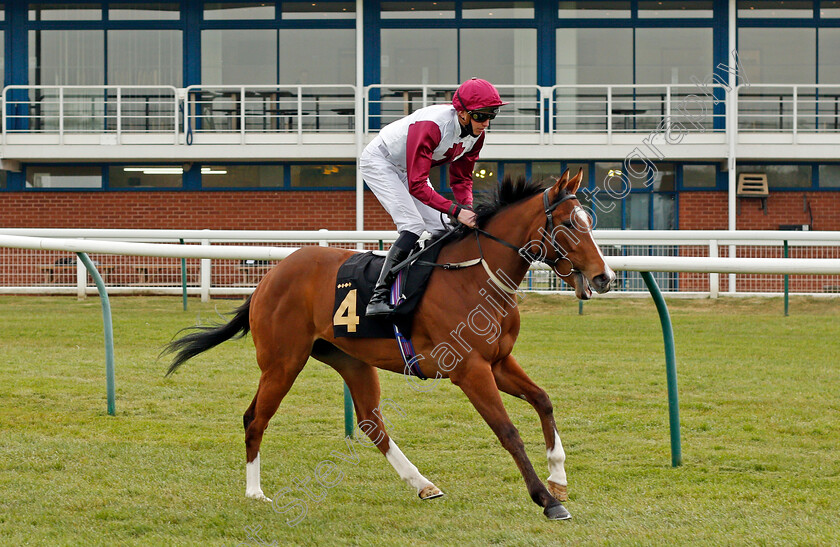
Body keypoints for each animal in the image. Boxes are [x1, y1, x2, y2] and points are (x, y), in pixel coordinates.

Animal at [164, 171, 612, 524]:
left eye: (589, 221)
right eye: (569, 223)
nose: (604, 277)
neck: (475, 276)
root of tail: (269, 278)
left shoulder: (499, 361)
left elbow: (544, 400)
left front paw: (558, 478)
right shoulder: (470, 370)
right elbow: (509, 432)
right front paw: (547, 500)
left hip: (351, 360)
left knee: (370, 423)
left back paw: (423, 483)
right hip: (282, 362)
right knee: (255, 418)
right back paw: (255, 493)